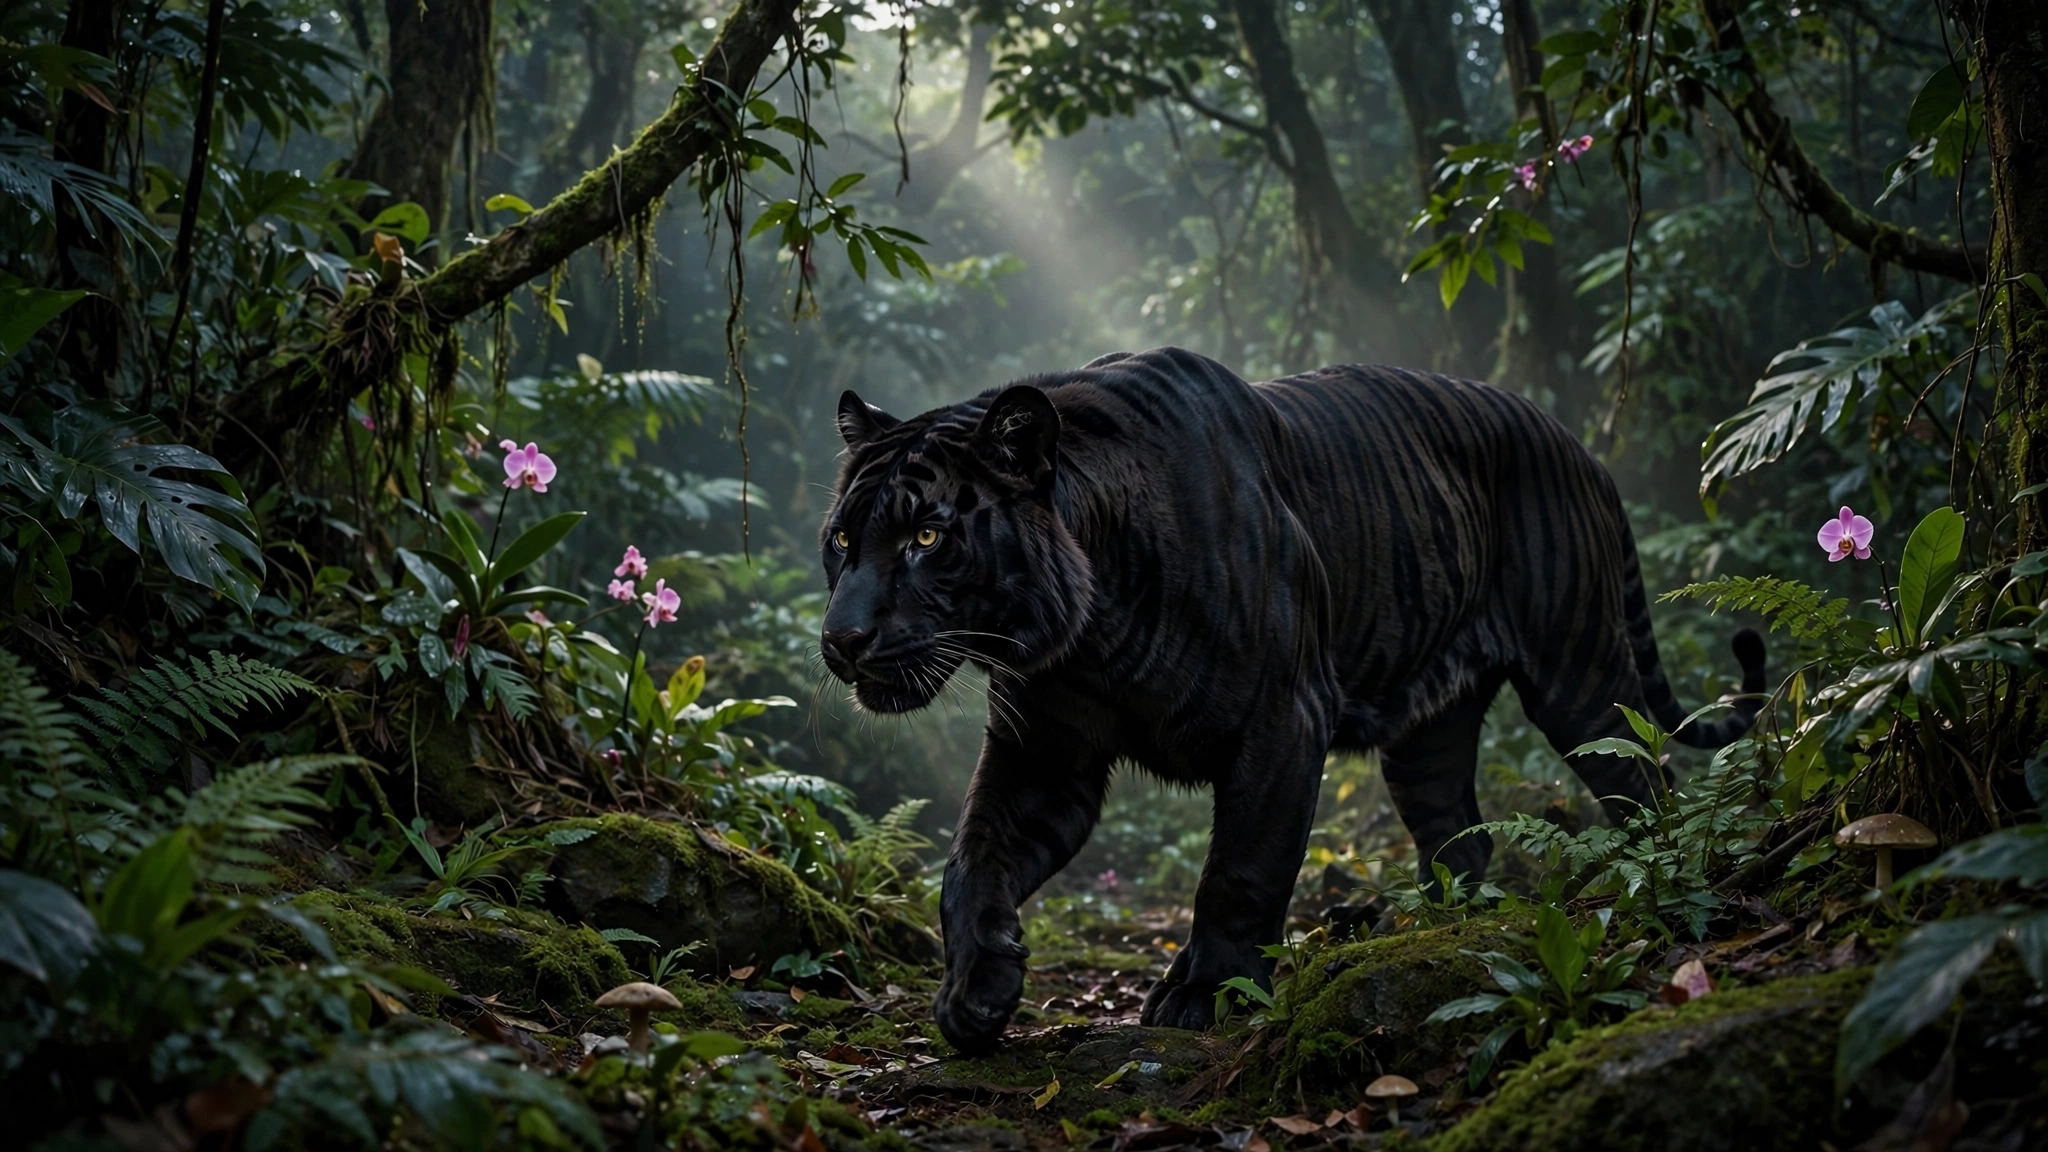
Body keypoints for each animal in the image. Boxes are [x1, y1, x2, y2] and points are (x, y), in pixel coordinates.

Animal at [816, 347, 1764, 1054]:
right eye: (842, 541)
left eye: (927, 536)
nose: (841, 639)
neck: (1089, 637)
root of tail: (1581, 444)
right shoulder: (1043, 752)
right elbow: (971, 860)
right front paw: (977, 991)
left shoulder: (1280, 723)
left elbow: (1240, 871)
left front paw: (1205, 996)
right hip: (1429, 733)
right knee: (1459, 836)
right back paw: (1420, 929)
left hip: (1579, 673)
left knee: (1643, 781)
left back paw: (1652, 877)